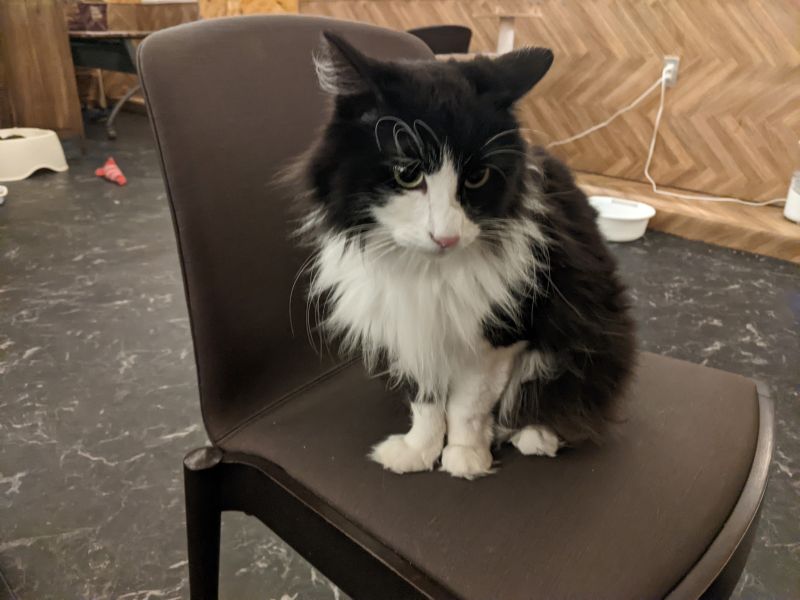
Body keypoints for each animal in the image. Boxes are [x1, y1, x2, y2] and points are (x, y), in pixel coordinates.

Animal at [293, 32, 635, 479]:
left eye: (477, 178)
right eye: (408, 174)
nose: (447, 237)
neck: (425, 272)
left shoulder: (499, 338)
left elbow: (467, 406)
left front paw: (465, 457)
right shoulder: (412, 331)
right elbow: (426, 403)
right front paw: (418, 452)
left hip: (588, 335)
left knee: (556, 398)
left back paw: (535, 436)